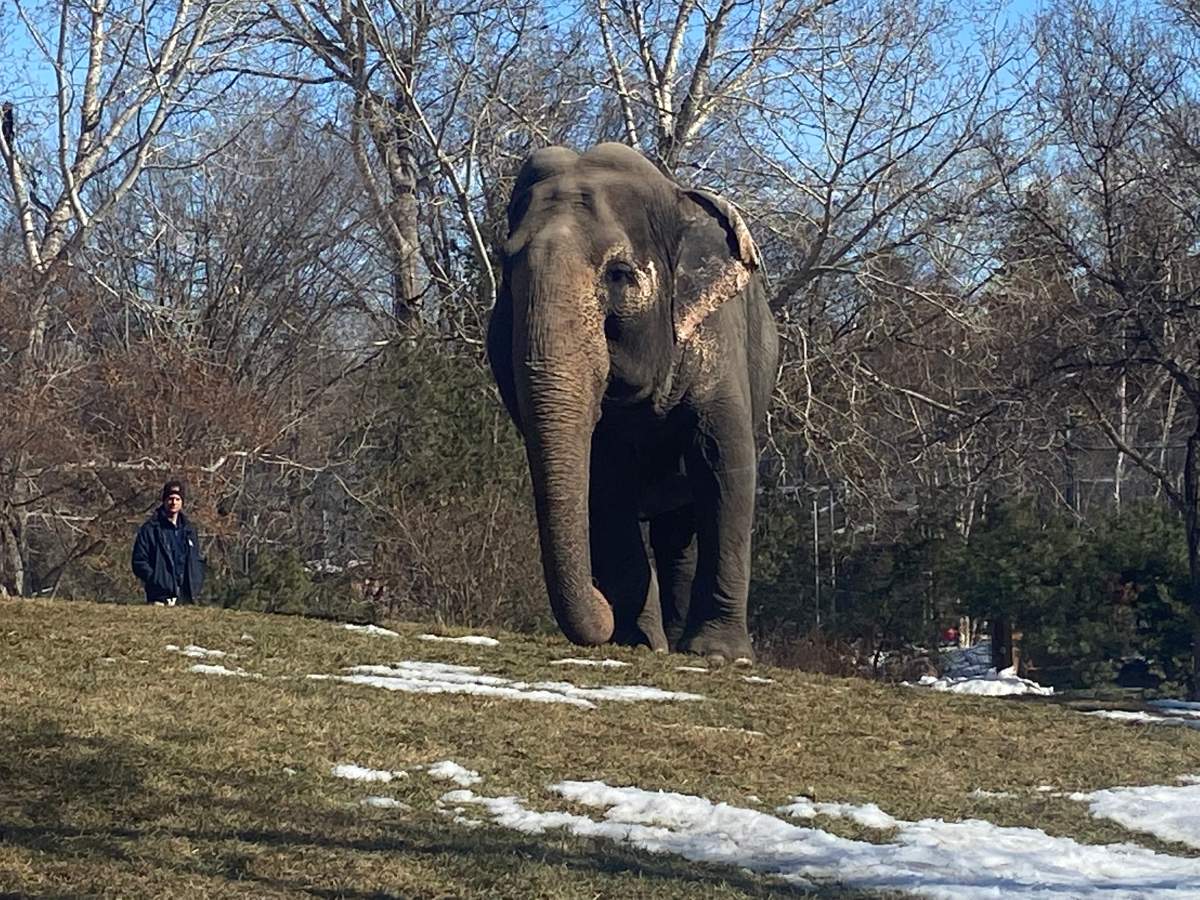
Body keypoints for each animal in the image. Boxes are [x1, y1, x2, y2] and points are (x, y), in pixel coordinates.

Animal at [487, 143, 779, 663]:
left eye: (620, 275)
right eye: (507, 267)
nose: (600, 606)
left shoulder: (718, 337)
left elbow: (723, 462)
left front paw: (721, 655)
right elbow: (604, 482)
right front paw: (637, 641)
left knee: (682, 523)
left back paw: (686, 644)